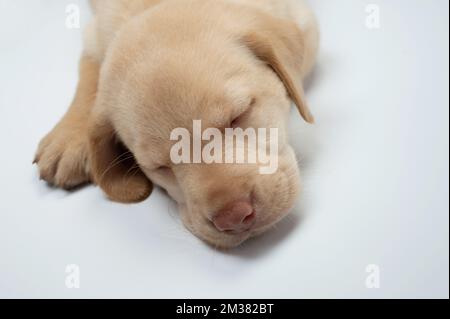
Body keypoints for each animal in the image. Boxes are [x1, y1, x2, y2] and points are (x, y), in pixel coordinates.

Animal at [33, 0, 318, 250]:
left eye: (239, 115)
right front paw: (69, 138)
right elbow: (90, 74)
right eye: (159, 167)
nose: (234, 218)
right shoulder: (94, 36)